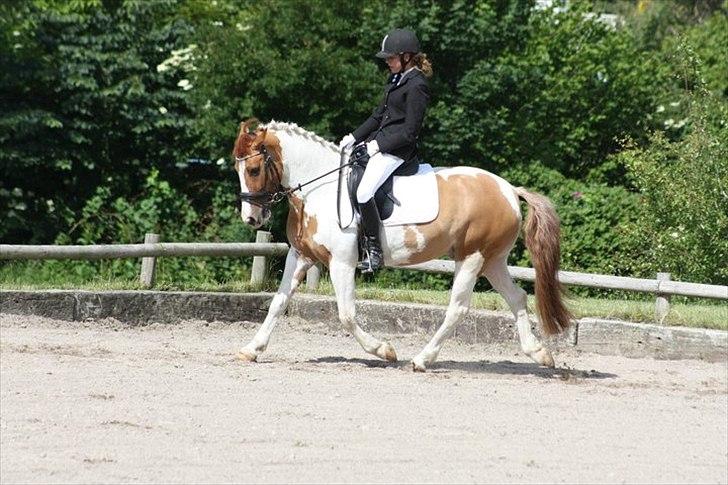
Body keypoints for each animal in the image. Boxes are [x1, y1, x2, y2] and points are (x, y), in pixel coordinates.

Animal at [230, 118, 572, 370]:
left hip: (472, 257)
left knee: (458, 308)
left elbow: (346, 314)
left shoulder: (341, 263)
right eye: (238, 170)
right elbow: (278, 302)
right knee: (517, 298)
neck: (320, 189)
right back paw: (539, 353)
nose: (252, 218)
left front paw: (384, 350)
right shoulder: (300, 256)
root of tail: (509, 190)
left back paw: (422, 359)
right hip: (493, 260)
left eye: (254, 169)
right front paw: (251, 349)